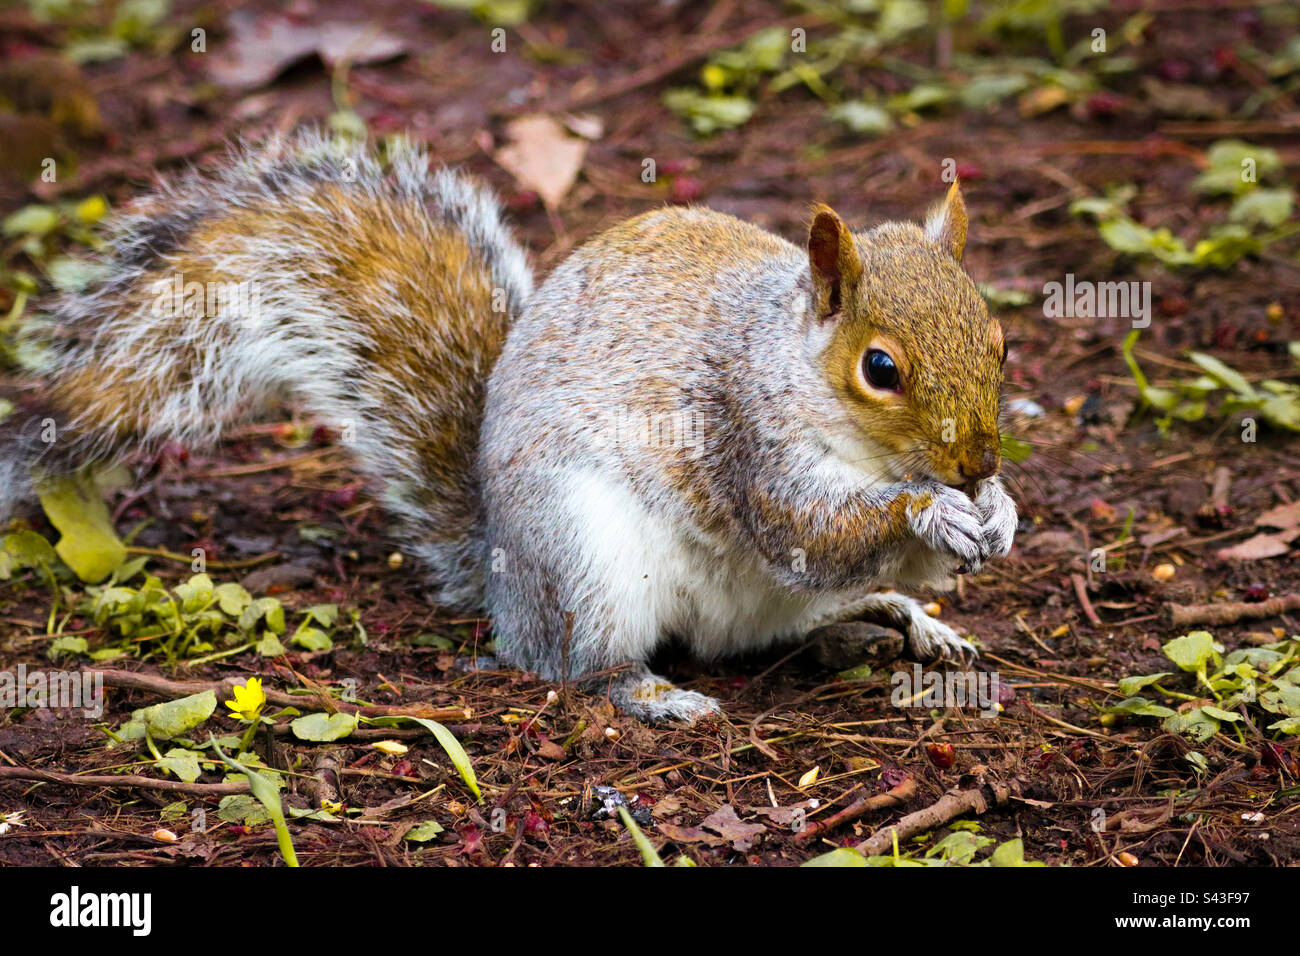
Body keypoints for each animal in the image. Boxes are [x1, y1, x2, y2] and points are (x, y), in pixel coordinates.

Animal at [0, 131, 1017, 723]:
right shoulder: (742, 436)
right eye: (879, 370)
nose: (975, 462)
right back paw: (656, 694)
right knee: (579, 666)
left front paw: (995, 512)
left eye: (1002, 341)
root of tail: (500, 576)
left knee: (803, 617)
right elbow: (809, 529)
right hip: (587, 560)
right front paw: (930, 512)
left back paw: (902, 617)